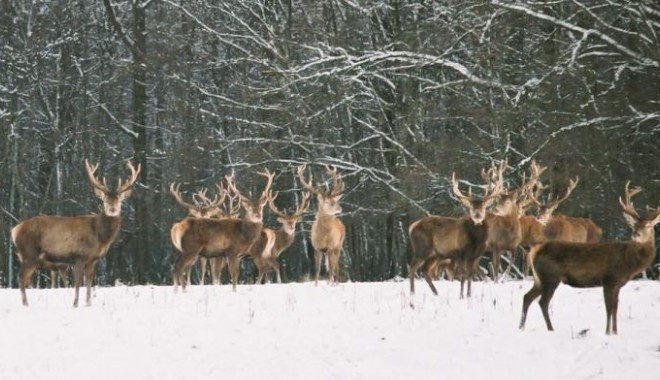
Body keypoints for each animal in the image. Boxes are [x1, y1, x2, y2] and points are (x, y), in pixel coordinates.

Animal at [10, 159, 140, 308]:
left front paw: (88, 304)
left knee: (25, 278)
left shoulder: (92, 260)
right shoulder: (79, 256)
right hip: (29, 253)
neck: (99, 237)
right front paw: (75, 304)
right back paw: (25, 304)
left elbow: (89, 283)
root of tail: (14, 230)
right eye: (105, 200)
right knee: (22, 277)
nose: (112, 209)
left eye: (119, 200)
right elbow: (78, 283)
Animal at [520, 183, 660, 334]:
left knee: (527, 297)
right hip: (550, 277)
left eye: (648, 226)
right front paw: (607, 332)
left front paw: (615, 332)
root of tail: (535, 251)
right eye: (634, 225)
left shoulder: (617, 284)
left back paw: (521, 327)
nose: (636, 234)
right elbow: (609, 309)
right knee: (542, 302)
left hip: (539, 279)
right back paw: (551, 329)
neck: (628, 263)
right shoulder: (609, 279)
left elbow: (615, 308)